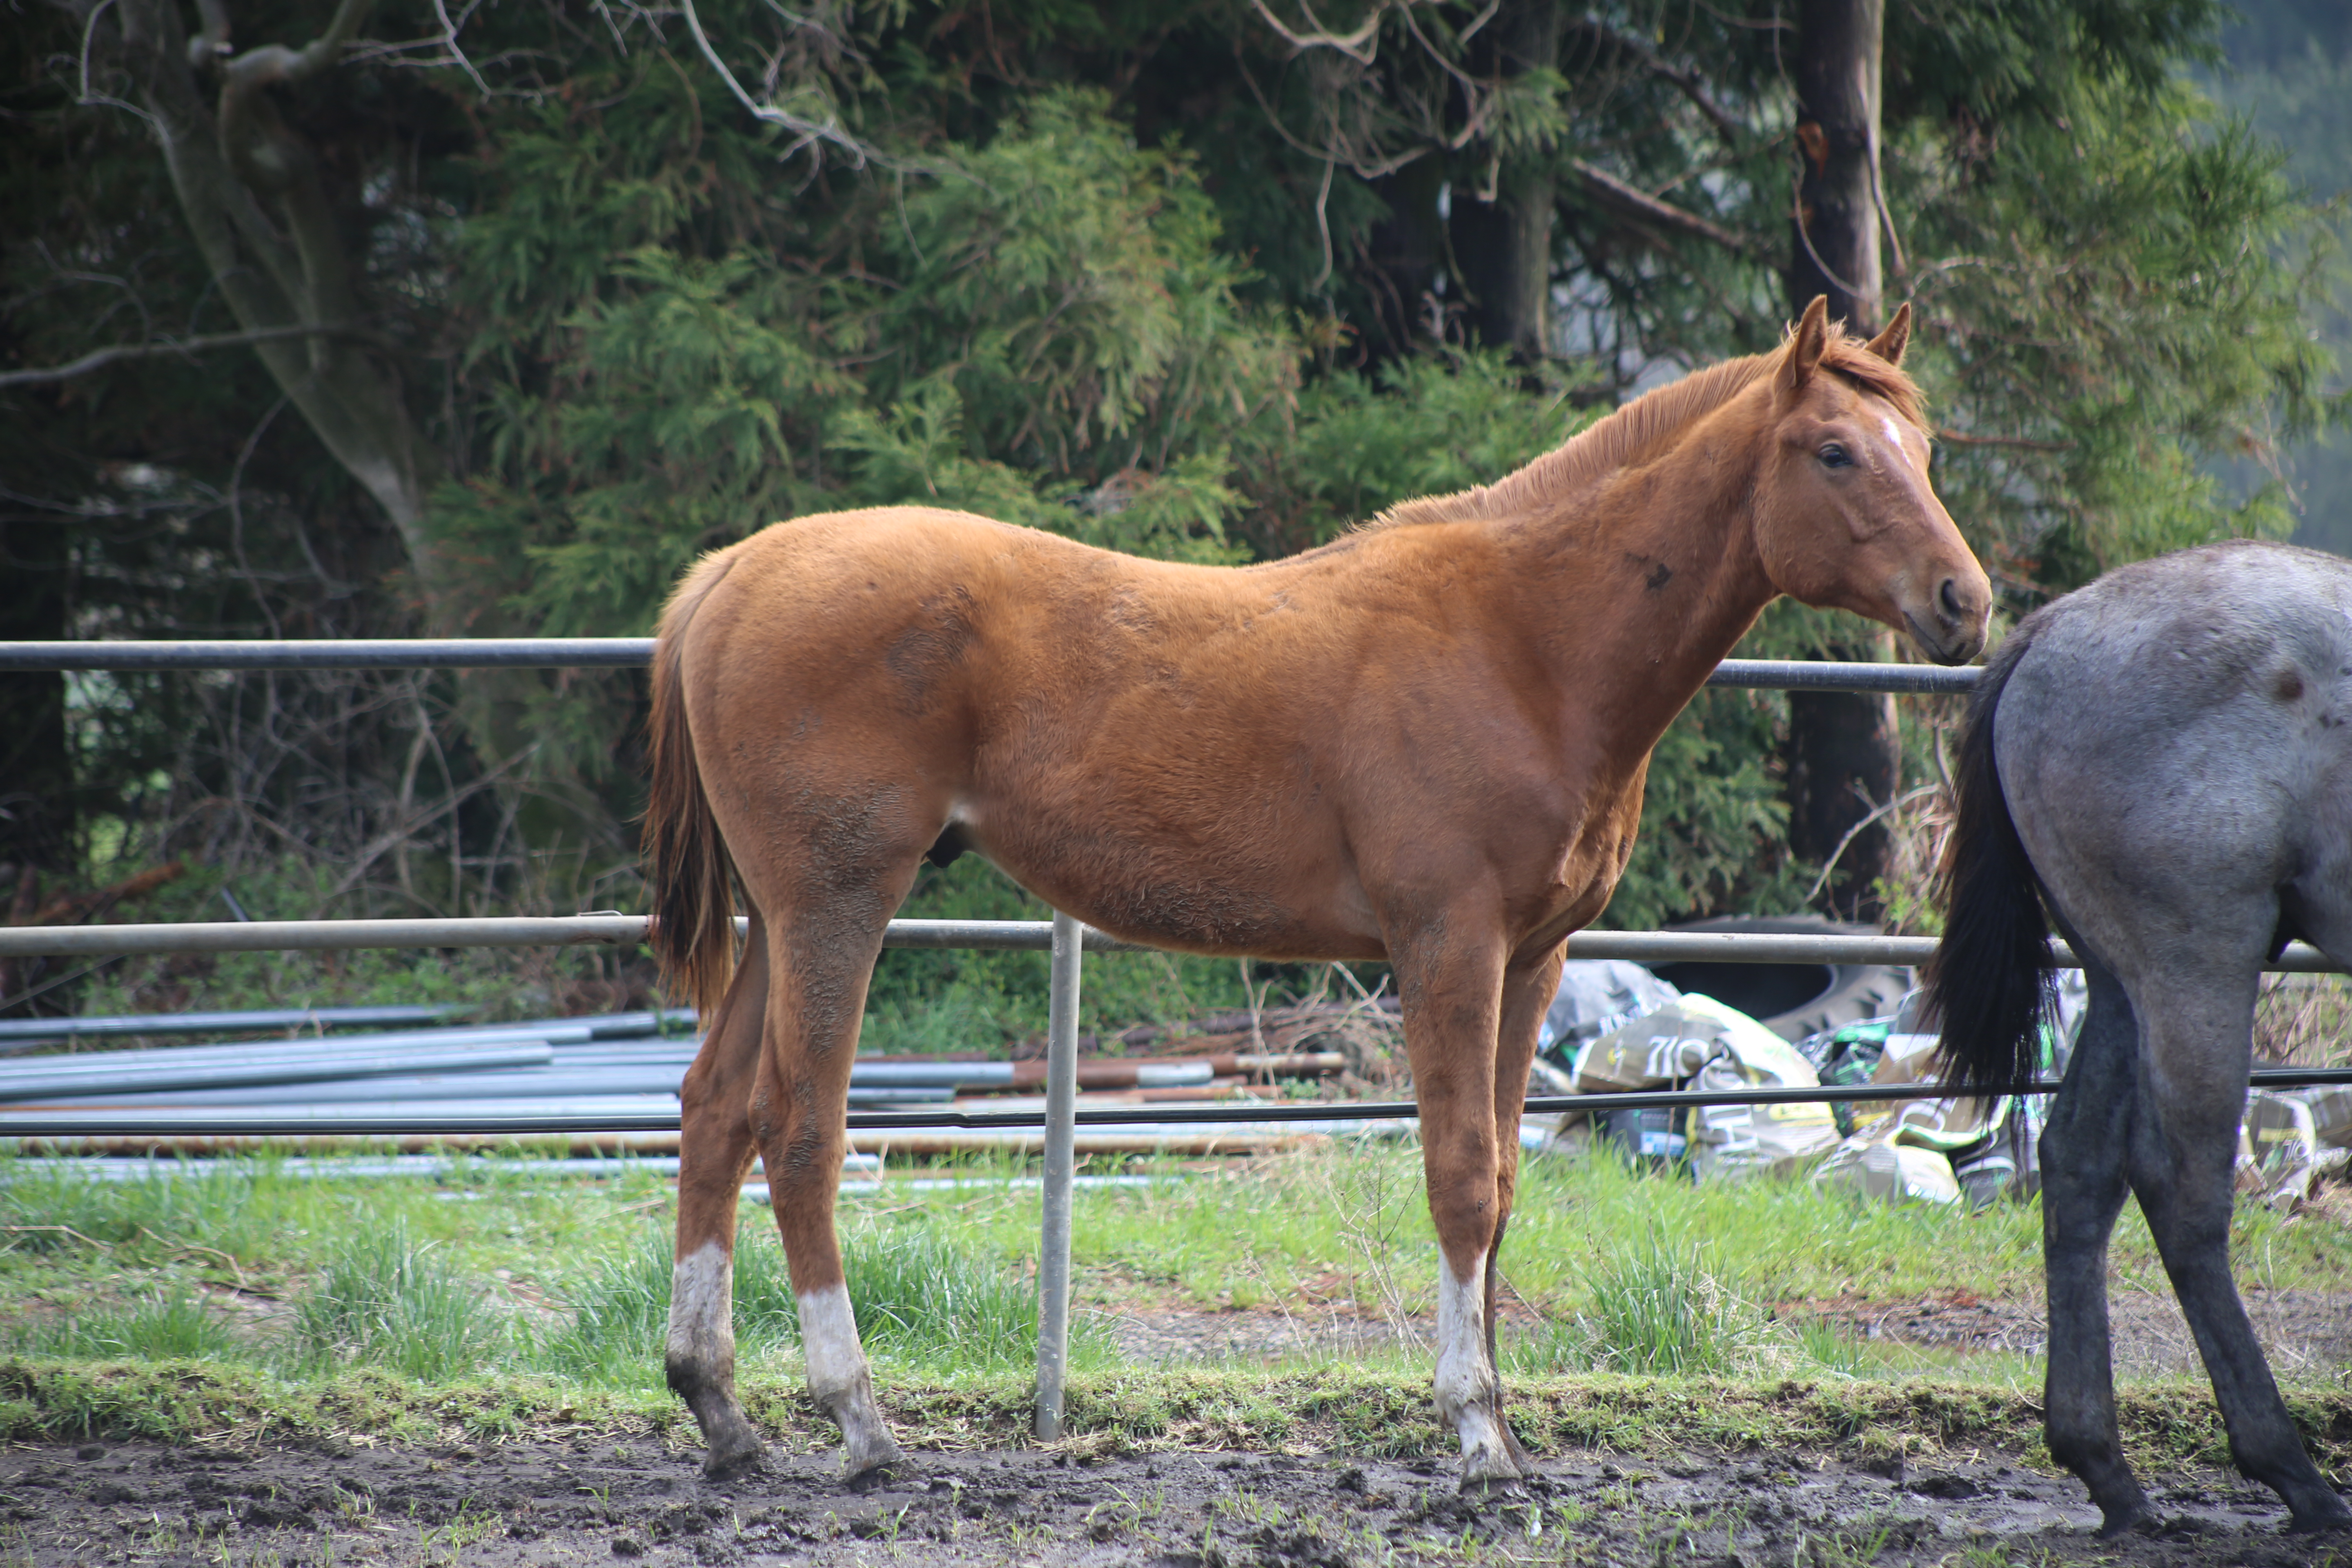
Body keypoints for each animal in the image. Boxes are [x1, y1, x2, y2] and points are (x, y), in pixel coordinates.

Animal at [639, 301, 1985, 1495]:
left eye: (1920, 448)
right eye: (1833, 450)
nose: (1963, 601)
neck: (1523, 641)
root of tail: (731, 574)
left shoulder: (1533, 956)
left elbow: (1505, 1178)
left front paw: (1506, 1424)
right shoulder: (1447, 945)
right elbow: (1458, 1173)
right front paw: (1474, 1432)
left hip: (778, 919)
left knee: (712, 1109)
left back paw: (722, 1411)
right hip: (835, 902)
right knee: (799, 1129)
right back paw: (858, 1423)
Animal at [1929, 541, 2352, 1532]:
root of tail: (2050, 632)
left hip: (2123, 981)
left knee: (2079, 1162)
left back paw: (2105, 1469)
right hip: (2195, 966)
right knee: (2181, 1191)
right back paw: (2290, 1470)